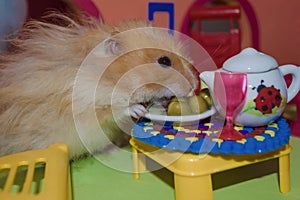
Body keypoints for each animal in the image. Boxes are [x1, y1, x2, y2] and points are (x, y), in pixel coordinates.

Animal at [0, 12, 199, 159]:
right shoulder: (84, 104)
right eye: (164, 61)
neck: (112, 79)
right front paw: (138, 109)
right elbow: (112, 109)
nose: (192, 87)